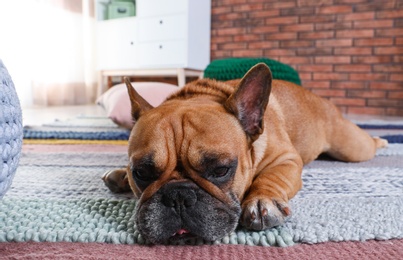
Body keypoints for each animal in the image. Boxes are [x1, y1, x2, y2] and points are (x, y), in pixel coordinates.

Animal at [102, 63, 386, 244]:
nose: (178, 196)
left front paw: (262, 201)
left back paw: (381, 140)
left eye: (220, 170)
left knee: (364, 144)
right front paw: (121, 174)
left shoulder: (286, 159)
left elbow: (271, 178)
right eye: (141, 173)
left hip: (352, 148)